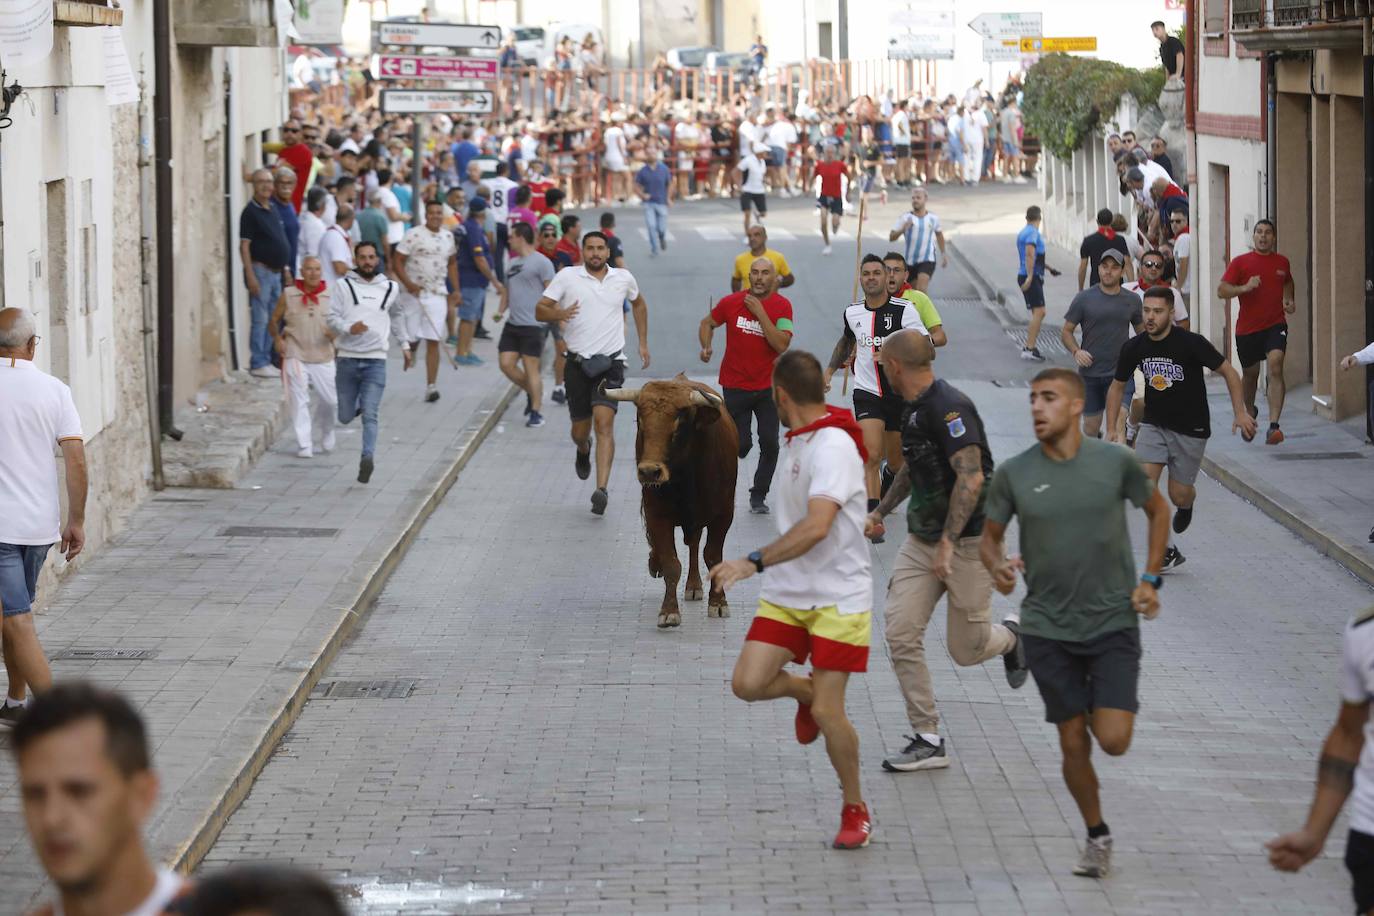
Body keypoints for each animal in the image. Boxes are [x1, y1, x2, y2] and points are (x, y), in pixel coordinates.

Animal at [601, 376, 741, 626]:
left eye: (679, 422)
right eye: (641, 422)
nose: (649, 471)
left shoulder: (724, 514)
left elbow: (713, 556)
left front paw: (718, 602)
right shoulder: (656, 513)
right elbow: (671, 563)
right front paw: (668, 611)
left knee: (695, 544)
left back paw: (694, 586)